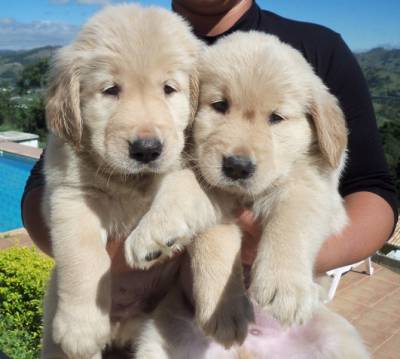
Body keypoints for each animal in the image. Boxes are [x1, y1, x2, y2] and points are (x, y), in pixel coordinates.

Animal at [41, 3, 217, 359]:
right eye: (111, 90)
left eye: (169, 89)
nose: (147, 149)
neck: (132, 182)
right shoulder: (69, 193)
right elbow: (83, 254)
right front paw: (80, 328)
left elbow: (181, 179)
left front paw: (155, 236)